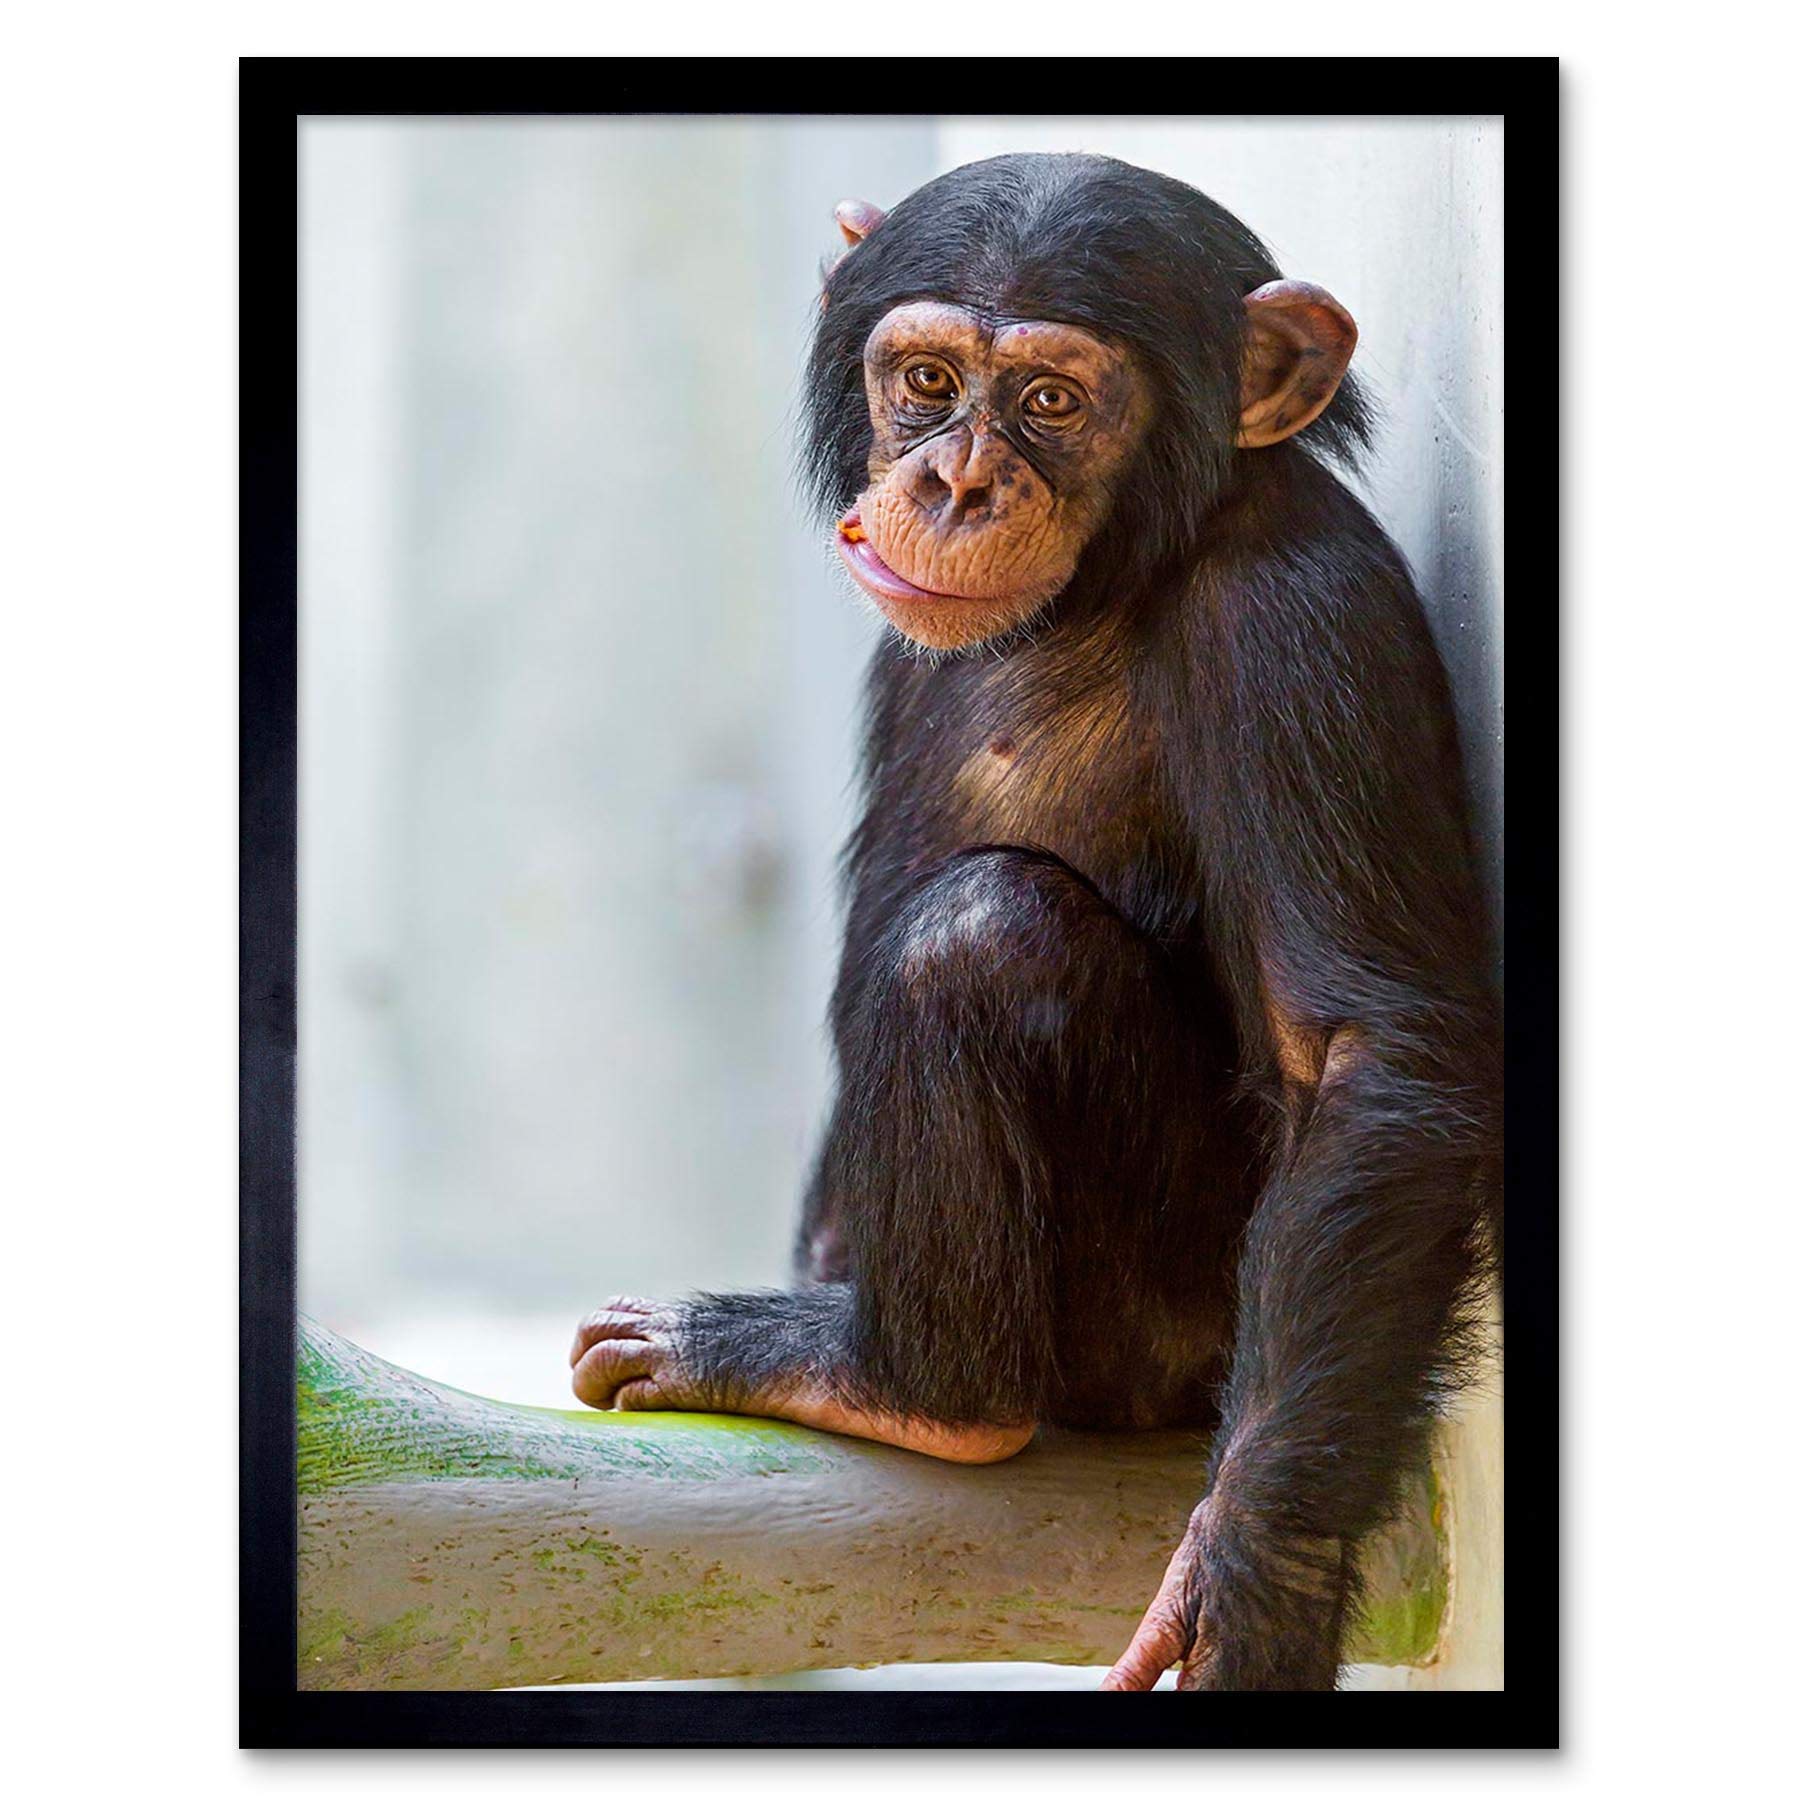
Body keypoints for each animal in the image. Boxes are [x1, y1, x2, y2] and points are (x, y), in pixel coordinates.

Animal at [569, 153, 1499, 1692]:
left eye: (1055, 402)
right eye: (927, 379)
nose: (954, 478)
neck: (1123, 572)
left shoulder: (1291, 625)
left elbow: (1361, 1058)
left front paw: (1257, 1574)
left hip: (1169, 1334)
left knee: (980, 932)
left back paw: (901, 1385)